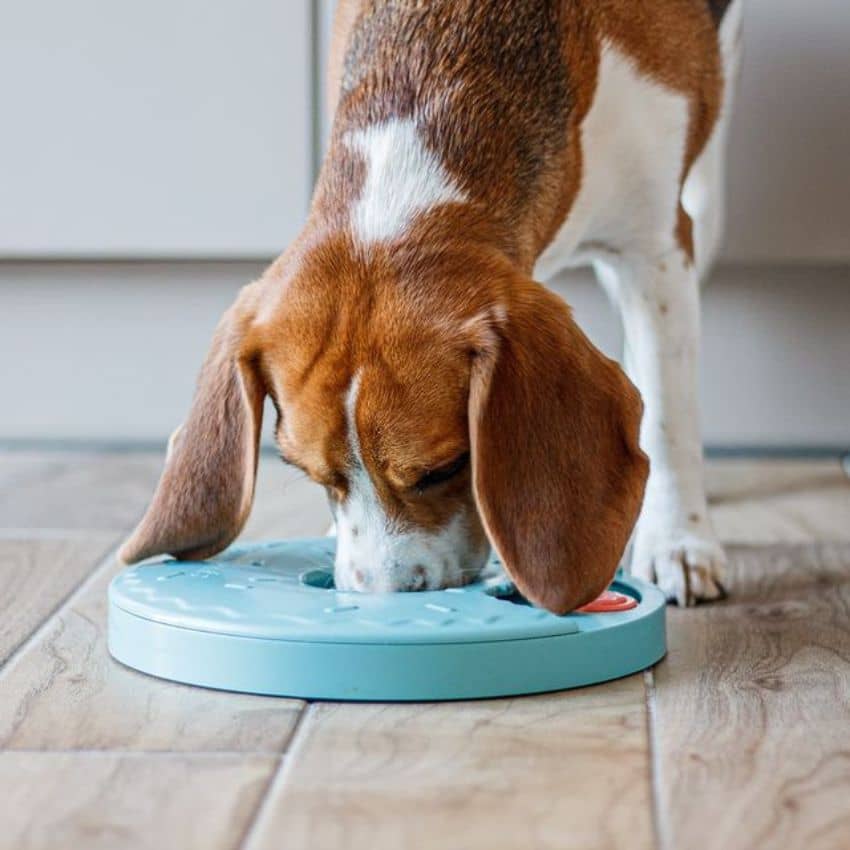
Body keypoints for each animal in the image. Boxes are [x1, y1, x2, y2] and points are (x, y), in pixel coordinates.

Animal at [119, 0, 744, 608]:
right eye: (313, 475)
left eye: (445, 468)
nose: (382, 598)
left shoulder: (656, 247)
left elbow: (668, 412)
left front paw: (678, 541)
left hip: (705, 205)